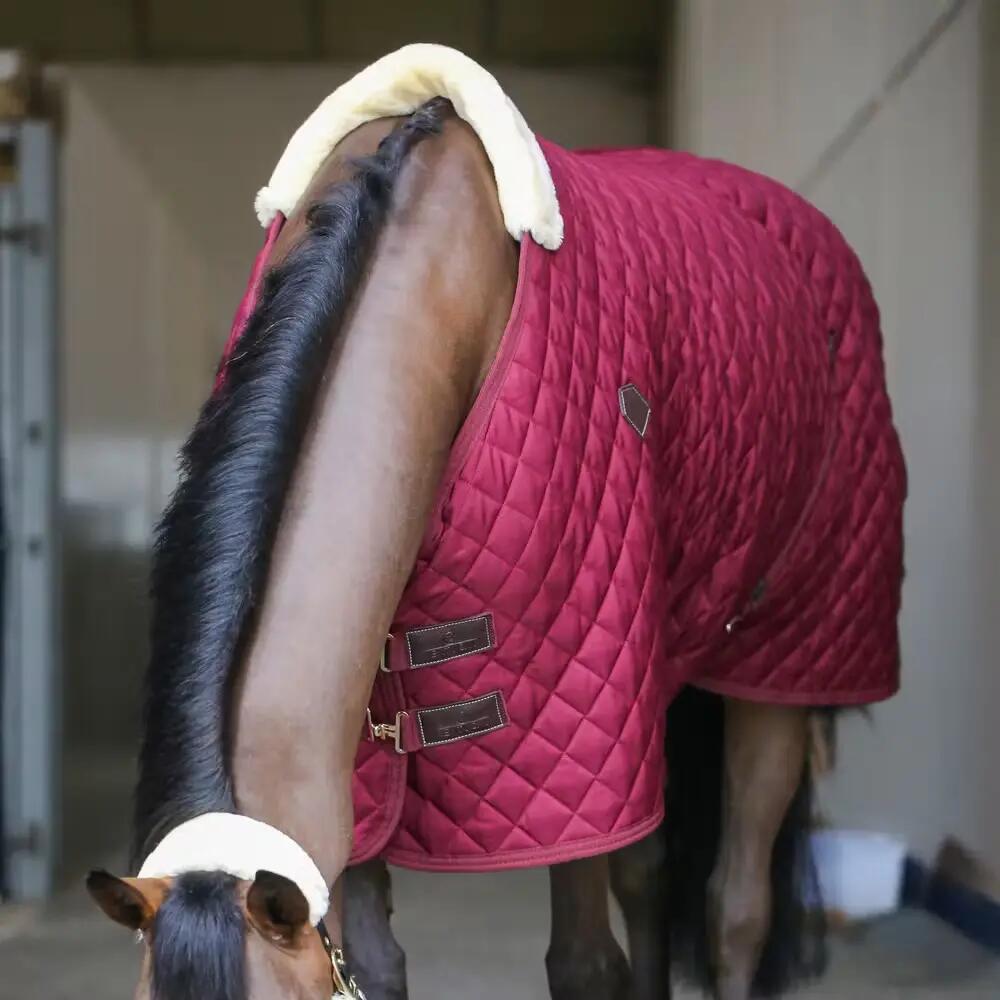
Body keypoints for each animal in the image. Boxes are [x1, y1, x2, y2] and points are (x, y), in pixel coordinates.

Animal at [85, 46, 904, 1000]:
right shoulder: (362, 777)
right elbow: (377, 962)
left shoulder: (574, 735)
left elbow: (585, 964)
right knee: (652, 870)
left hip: (776, 670)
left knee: (737, 906)